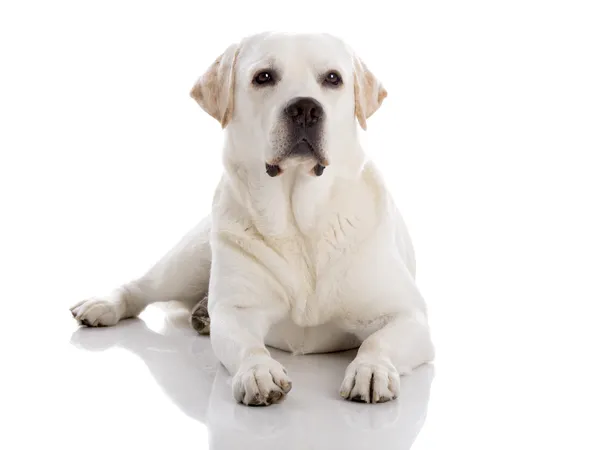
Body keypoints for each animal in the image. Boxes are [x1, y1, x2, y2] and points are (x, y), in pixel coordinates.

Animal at [71, 30, 436, 404]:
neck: (298, 221)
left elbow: (377, 341)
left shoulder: (407, 315)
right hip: (190, 259)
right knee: (142, 287)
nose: (305, 108)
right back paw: (105, 305)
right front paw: (259, 373)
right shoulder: (236, 314)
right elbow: (249, 346)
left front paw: (371, 370)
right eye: (264, 77)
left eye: (333, 78)